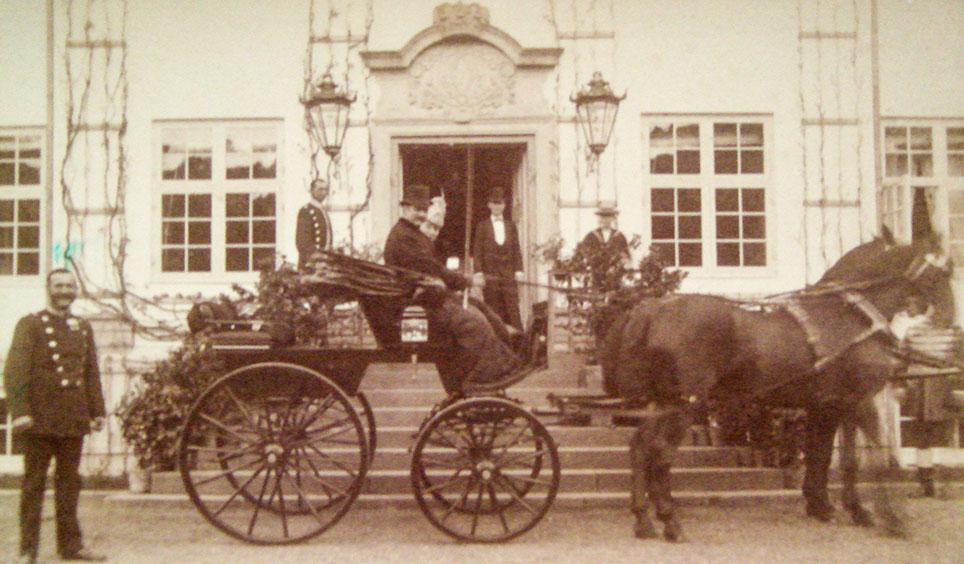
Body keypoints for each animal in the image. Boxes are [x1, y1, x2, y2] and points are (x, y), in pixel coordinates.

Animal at [600, 231, 952, 540]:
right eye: (945, 270)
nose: (948, 320)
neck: (849, 315)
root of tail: (651, 309)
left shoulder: (829, 405)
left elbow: (828, 456)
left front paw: (830, 507)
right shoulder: (858, 400)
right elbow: (872, 456)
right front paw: (891, 517)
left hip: (662, 403)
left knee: (640, 447)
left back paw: (644, 520)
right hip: (685, 405)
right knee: (660, 453)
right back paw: (670, 521)